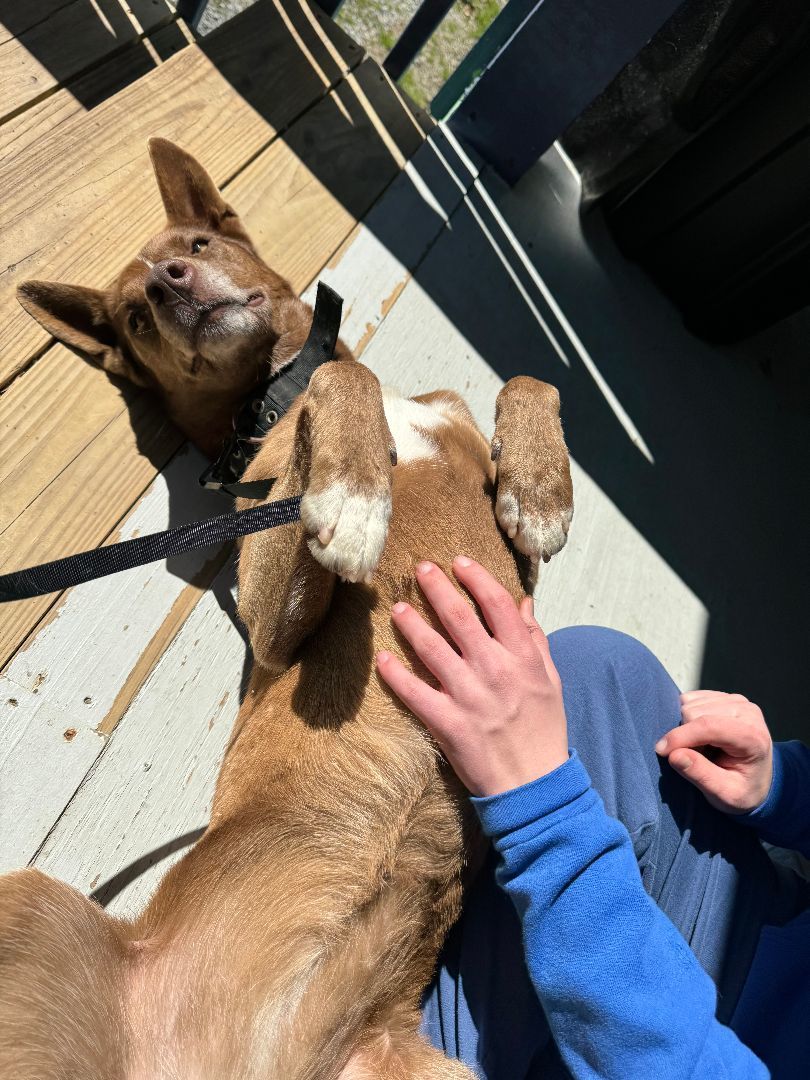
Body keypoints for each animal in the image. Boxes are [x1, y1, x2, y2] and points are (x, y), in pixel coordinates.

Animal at [4, 143, 578, 1080]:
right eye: (134, 319)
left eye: (197, 242)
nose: (169, 283)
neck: (279, 387)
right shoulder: (278, 614)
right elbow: (350, 376)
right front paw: (355, 491)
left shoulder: (513, 578)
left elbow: (532, 377)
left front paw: (539, 488)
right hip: (30, 909)